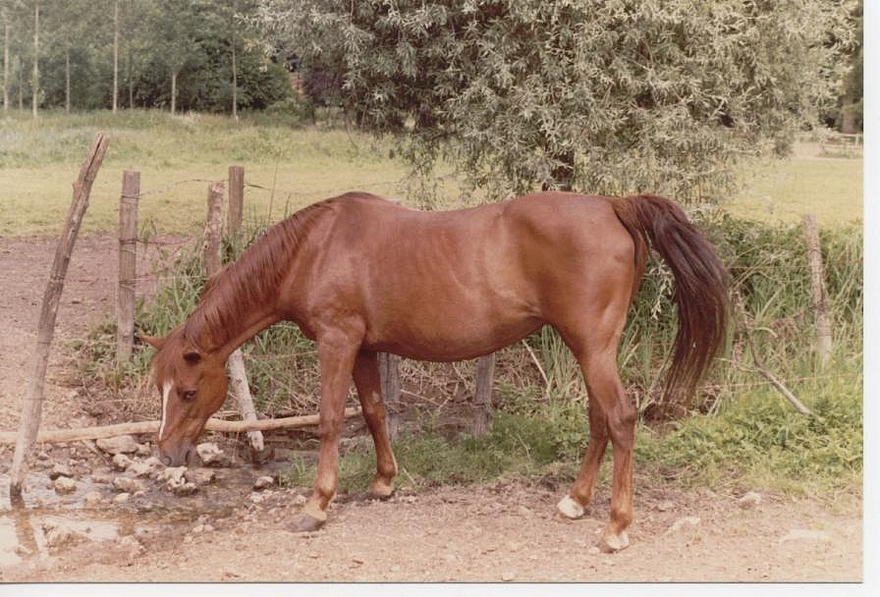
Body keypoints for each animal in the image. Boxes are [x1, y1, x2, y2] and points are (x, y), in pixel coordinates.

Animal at [144, 191, 724, 548]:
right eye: (162, 388)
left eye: (189, 391)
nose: (167, 453)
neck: (316, 248)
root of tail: (613, 205)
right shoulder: (363, 349)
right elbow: (374, 411)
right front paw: (384, 482)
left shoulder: (337, 343)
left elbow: (331, 420)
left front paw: (317, 505)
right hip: (588, 348)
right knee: (600, 420)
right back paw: (576, 502)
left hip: (593, 348)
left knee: (621, 419)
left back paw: (615, 527)